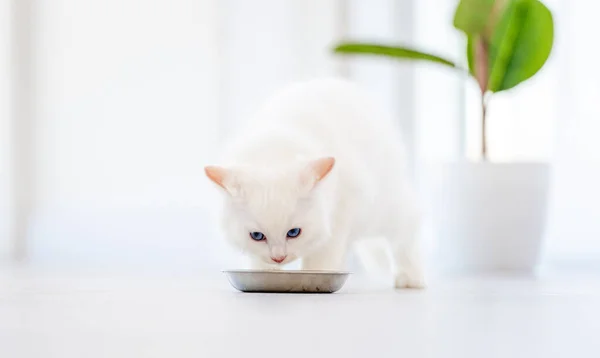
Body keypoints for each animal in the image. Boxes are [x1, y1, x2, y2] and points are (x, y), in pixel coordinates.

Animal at [204, 77, 424, 288]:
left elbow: (321, 261)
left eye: (293, 233)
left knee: (407, 232)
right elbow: (259, 263)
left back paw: (411, 277)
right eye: (257, 236)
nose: (279, 257)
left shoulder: (338, 219)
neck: (274, 150)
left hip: (383, 210)